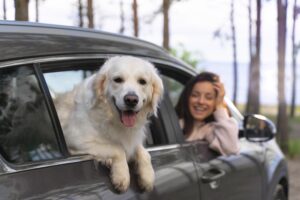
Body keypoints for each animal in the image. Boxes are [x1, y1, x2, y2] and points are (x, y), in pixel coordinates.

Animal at [55, 55, 165, 192]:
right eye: (118, 80)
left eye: (142, 81)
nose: (131, 100)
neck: (111, 118)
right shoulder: (76, 140)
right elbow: (117, 148)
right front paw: (121, 176)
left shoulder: (133, 140)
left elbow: (144, 153)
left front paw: (147, 177)